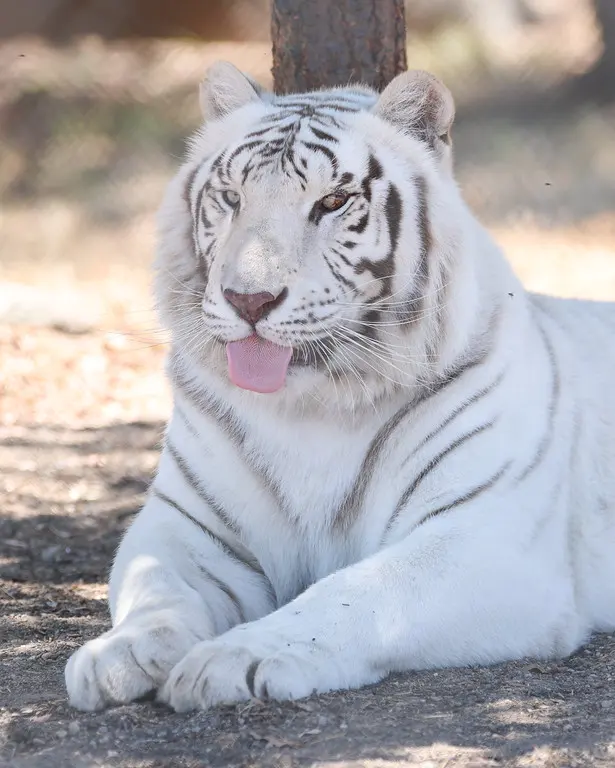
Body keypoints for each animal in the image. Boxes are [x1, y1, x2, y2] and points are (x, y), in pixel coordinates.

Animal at [65, 62, 615, 712]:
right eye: (232, 197)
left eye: (331, 202)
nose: (248, 300)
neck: (314, 407)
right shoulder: (189, 527)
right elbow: (154, 584)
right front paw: (117, 656)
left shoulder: (484, 536)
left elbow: (348, 594)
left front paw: (234, 658)